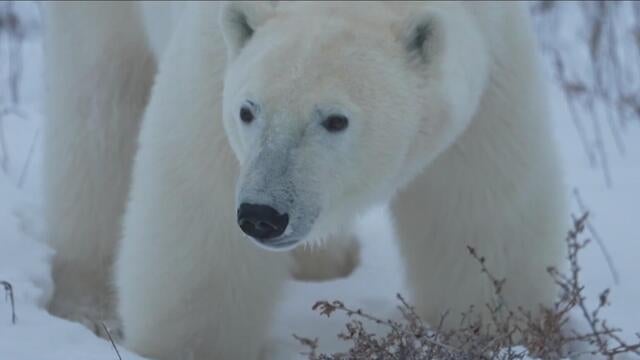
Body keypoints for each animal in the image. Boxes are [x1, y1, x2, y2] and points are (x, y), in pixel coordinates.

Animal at [43, 1, 564, 358]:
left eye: (335, 120)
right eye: (248, 110)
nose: (262, 215)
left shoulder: (490, 73)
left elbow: (481, 221)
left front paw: (498, 334)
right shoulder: (214, 72)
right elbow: (201, 232)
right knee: (101, 106)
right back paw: (84, 302)